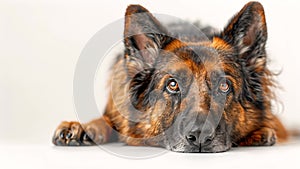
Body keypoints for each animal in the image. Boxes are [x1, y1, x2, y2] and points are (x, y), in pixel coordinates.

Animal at [52, 1, 290, 152]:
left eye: (224, 86)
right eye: (172, 85)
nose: (200, 135)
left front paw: (260, 132)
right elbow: (105, 120)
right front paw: (83, 127)